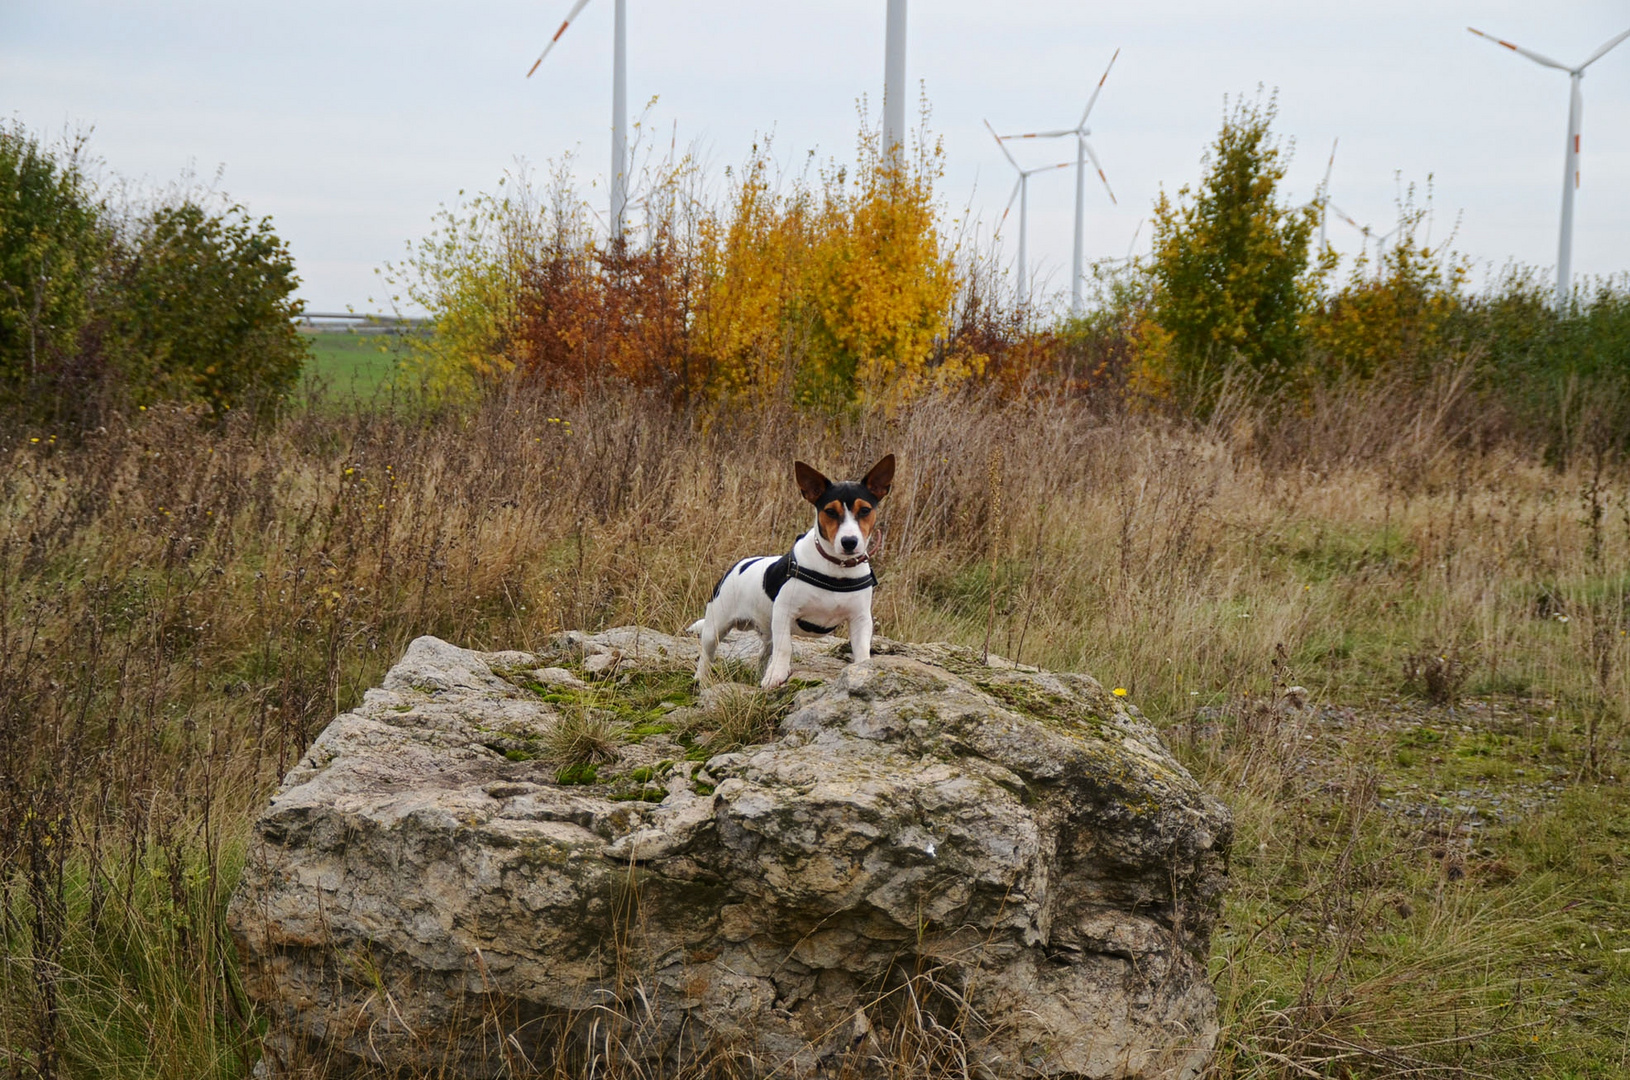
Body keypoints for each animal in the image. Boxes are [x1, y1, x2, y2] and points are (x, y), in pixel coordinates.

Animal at [684, 452, 899, 687]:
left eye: (865, 510)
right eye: (830, 512)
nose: (849, 542)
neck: (837, 568)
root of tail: (736, 566)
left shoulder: (860, 619)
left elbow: (861, 651)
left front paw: (862, 671)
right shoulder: (783, 612)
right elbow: (785, 647)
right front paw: (776, 675)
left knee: (764, 652)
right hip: (716, 625)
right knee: (707, 654)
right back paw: (701, 679)